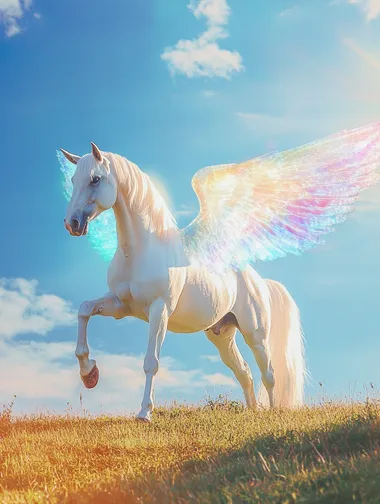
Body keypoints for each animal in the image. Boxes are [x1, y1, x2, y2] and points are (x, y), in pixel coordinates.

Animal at [60, 122, 380, 422]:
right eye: (74, 179)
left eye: (95, 179)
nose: (72, 224)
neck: (142, 250)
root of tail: (259, 280)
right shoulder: (120, 305)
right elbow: (84, 310)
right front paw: (89, 374)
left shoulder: (158, 311)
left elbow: (151, 361)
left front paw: (144, 413)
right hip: (222, 335)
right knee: (245, 372)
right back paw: (252, 412)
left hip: (255, 334)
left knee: (268, 373)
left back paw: (272, 412)